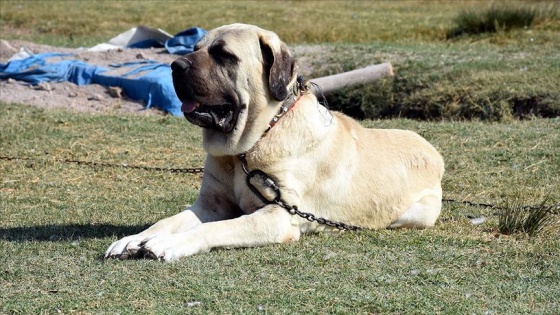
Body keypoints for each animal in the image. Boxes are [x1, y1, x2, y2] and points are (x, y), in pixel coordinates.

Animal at [105, 23, 446, 262]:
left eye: (224, 55)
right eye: (195, 47)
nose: (175, 66)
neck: (251, 145)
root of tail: (433, 151)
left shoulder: (279, 215)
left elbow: (213, 227)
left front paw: (168, 243)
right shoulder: (210, 204)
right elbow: (169, 220)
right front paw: (133, 239)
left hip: (414, 214)